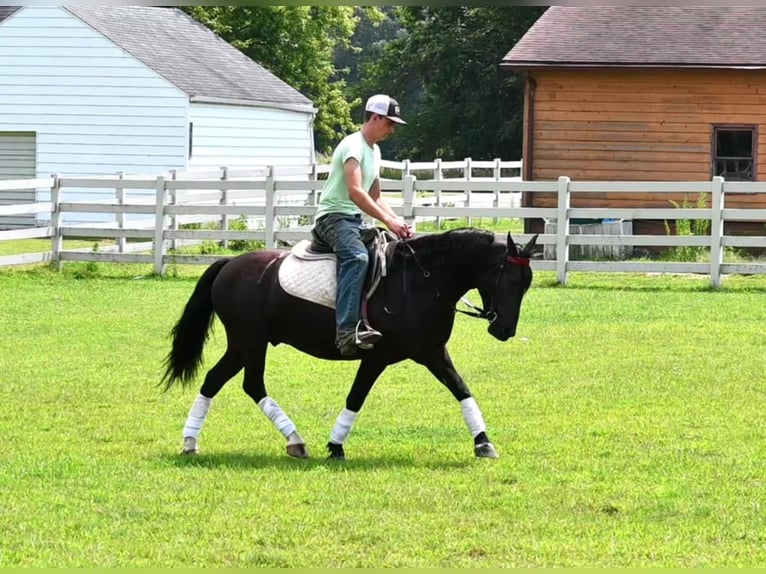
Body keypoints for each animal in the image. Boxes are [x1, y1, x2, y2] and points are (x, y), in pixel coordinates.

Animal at [161, 228, 537, 460]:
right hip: (249, 342)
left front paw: (483, 442)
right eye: (511, 279)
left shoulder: (432, 352)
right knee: (247, 383)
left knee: (222, 381)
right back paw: (287, 440)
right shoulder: (376, 357)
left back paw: (196, 441)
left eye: (527, 283)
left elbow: (461, 389)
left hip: (247, 344)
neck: (423, 281)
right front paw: (335, 445)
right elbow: (356, 397)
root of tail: (230, 264)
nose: (505, 329)